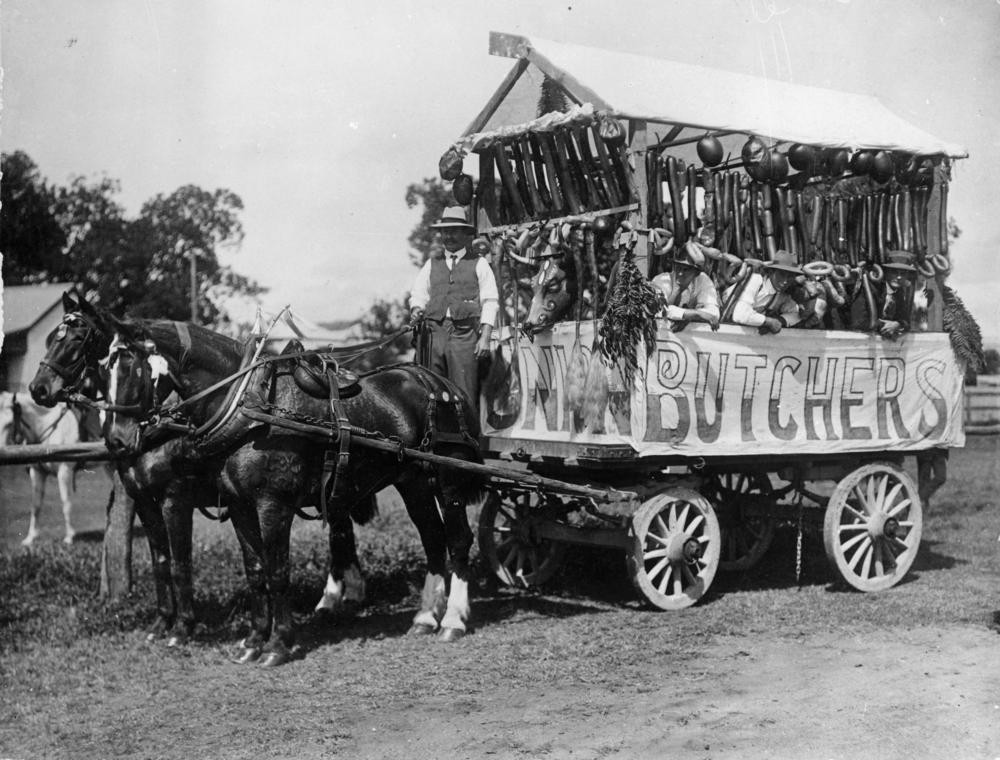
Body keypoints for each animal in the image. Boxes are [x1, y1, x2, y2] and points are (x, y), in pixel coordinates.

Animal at [0, 392, 97, 548]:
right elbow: (36, 505)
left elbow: (66, 503)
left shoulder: (64, 471)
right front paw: (30, 538)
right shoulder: (37, 473)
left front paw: (69, 537)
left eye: (9, 423)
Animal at [98, 314, 488, 664]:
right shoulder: (237, 506)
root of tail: (441, 383)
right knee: (432, 538)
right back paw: (425, 616)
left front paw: (277, 644)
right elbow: (253, 571)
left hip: (449, 481)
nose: (116, 440)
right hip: (413, 483)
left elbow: (274, 571)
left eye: (133, 369)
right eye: (105, 370)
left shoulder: (267, 504)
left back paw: (453, 619)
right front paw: (254, 640)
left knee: (458, 540)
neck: (249, 405)